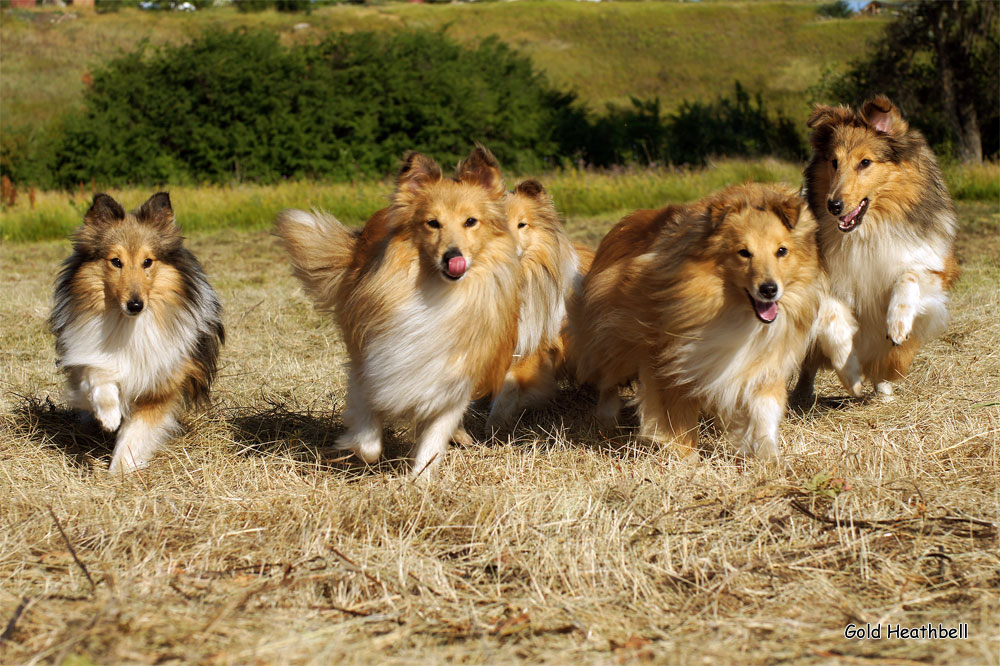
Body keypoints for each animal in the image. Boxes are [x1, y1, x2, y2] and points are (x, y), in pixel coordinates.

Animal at [51, 192, 225, 472]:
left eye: (147, 262)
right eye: (116, 262)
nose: (135, 305)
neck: (128, 325)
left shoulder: (161, 386)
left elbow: (134, 435)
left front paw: (118, 471)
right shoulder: (87, 355)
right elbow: (98, 375)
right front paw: (109, 416)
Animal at [278, 145, 520, 478]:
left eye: (471, 221)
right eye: (432, 223)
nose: (452, 257)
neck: (439, 292)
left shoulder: (454, 375)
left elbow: (434, 439)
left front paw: (420, 481)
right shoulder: (372, 362)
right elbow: (368, 442)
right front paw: (348, 449)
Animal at [576, 184, 848, 460]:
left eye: (781, 251)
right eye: (744, 252)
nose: (769, 290)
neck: (731, 308)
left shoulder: (763, 361)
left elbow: (764, 411)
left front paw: (769, 456)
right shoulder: (671, 361)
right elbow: (678, 416)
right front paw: (686, 458)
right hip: (615, 341)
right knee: (608, 377)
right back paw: (607, 419)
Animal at [796, 93, 960, 400]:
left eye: (865, 162)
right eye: (833, 161)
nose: (833, 205)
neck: (866, 232)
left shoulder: (935, 269)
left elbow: (909, 276)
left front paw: (898, 321)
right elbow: (833, 319)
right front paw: (850, 376)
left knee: (885, 364)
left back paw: (884, 391)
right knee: (808, 366)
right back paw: (802, 394)